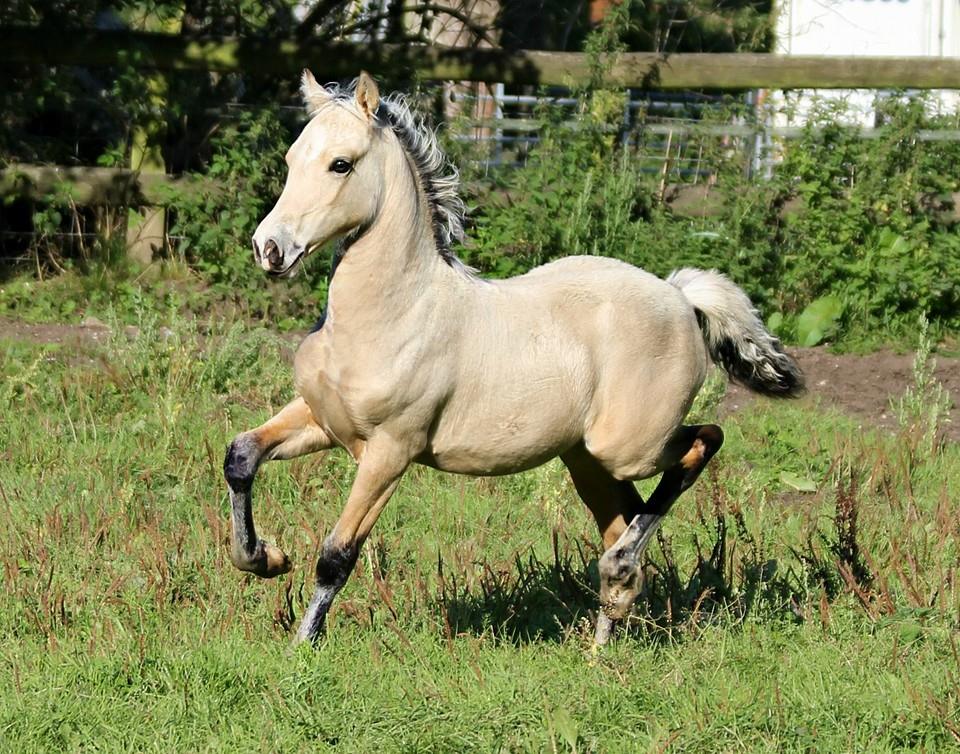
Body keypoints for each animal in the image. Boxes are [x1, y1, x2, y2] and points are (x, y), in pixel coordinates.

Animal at [223, 72, 804, 648]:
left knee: (703, 442)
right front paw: (267, 558)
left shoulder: (390, 450)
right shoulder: (321, 419)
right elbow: (241, 456)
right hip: (585, 458)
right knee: (626, 516)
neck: (395, 312)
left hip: (626, 447)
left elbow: (337, 554)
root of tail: (679, 296)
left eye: (340, 164)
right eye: (292, 158)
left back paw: (616, 577)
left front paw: (303, 647)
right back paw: (604, 632)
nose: (268, 249)